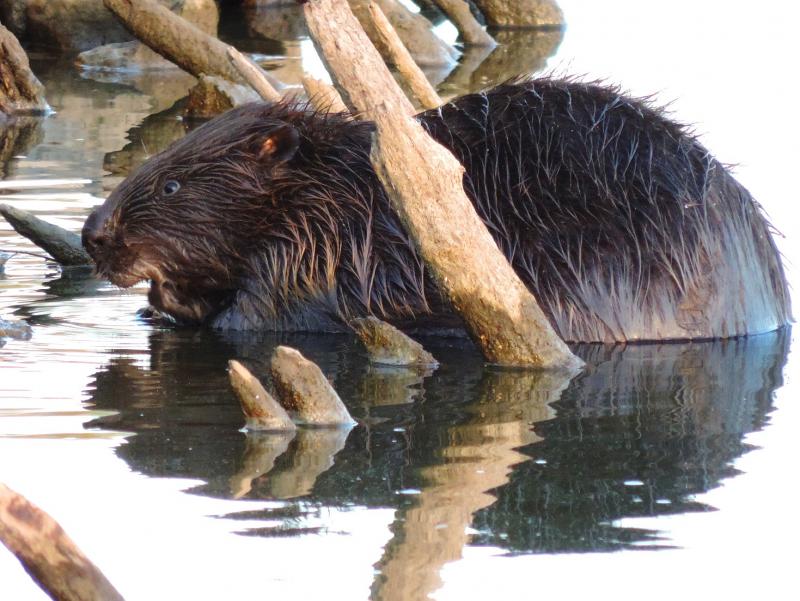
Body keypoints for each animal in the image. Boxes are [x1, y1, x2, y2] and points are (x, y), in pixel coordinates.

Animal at [82, 79, 791, 343]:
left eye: (172, 187)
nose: (93, 234)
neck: (349, 188)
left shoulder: (331, 245)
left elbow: (271, 316)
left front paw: (172, 299)